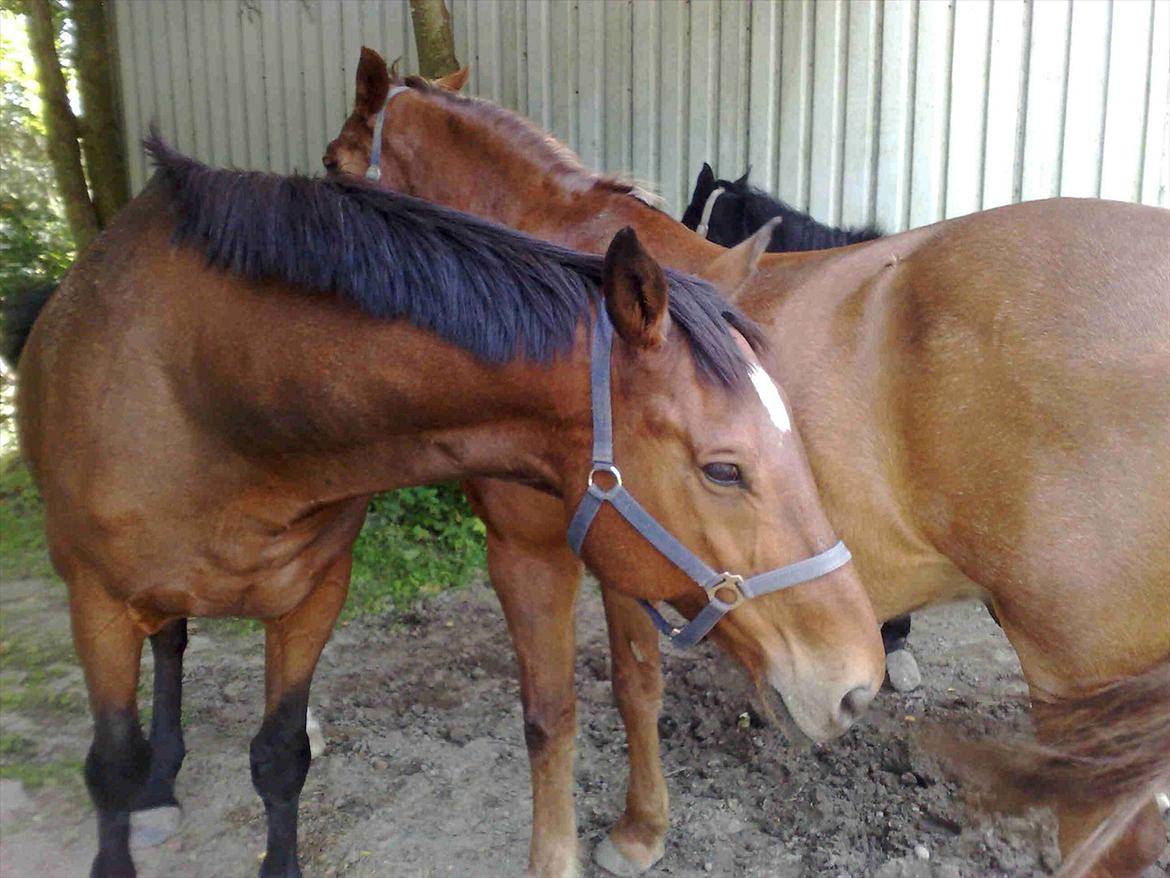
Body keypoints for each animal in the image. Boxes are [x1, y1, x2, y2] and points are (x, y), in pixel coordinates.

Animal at [16, 137, 884, 878]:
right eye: (723, 470)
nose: (858, 682)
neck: (204, 383)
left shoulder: (312, 595)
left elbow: (281, 756)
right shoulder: (94, 599)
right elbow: (111, 766)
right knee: (167, 647)